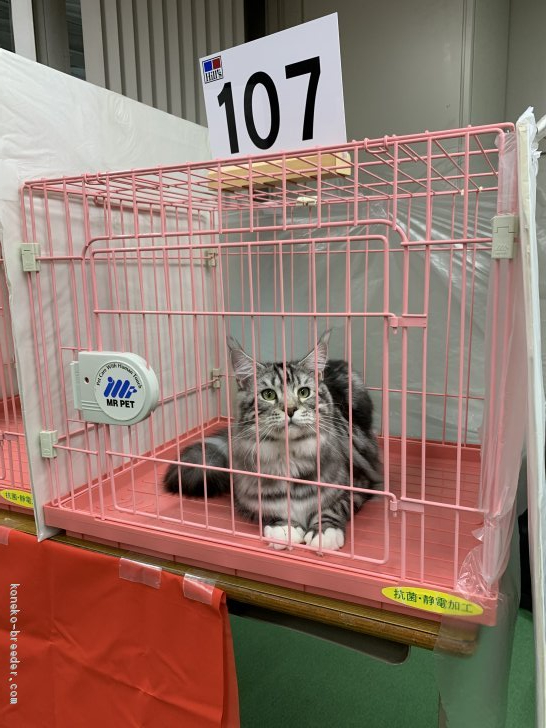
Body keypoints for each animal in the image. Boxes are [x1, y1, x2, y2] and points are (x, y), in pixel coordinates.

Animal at [163, 331, 381, 552]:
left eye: (304, 392)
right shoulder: (245, 497)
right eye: (268, 395)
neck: (289, 457)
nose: (290, 409)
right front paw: (284, 528)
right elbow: (270, 512)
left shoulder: (359, 483)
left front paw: (323, 533)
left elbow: (333, 507)